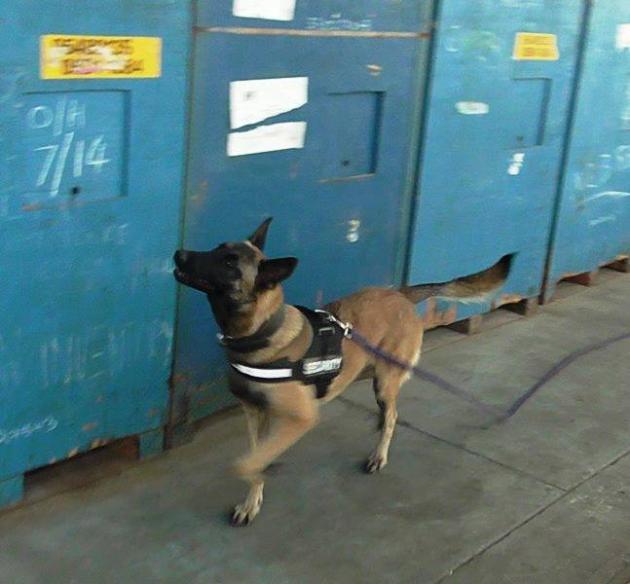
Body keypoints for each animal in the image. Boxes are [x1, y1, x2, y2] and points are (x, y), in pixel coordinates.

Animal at [174, 218, 512, 524]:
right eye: (218, 248)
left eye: (229, 262)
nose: (179, 254)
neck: (264, 331)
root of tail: (401, 294)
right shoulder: (255, 414)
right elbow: (253, 460)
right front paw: (252, 501)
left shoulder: (302, 418)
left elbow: (244, 465)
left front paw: (261, 476)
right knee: (386, 411)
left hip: (385, 379)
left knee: (393, 414)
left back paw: (379, 453)